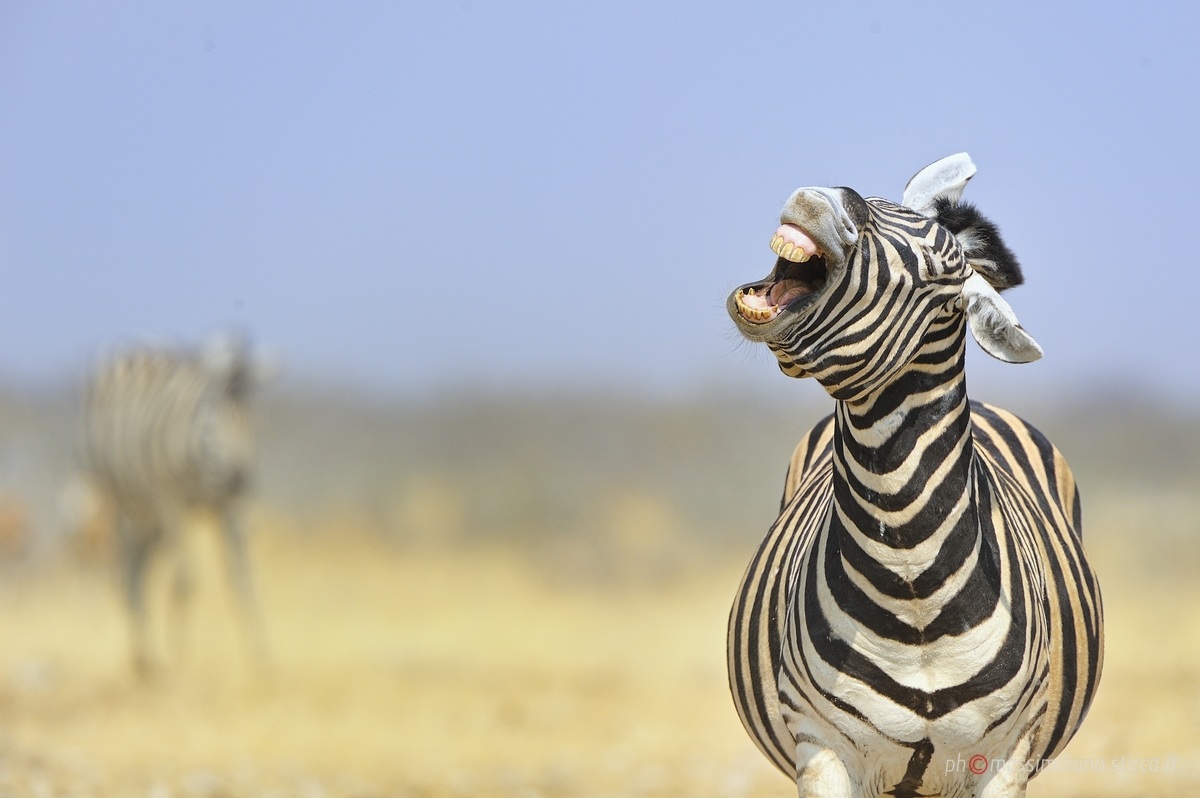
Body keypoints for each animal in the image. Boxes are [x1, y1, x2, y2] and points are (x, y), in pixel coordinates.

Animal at [84, 334, 271, 677]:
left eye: (251, 418)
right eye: (214, 414)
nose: (239, 479)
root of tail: (139, 346)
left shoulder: (231, 508)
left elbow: (244, 579)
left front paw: (262, 657)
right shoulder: (172, 502)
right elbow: (185, 581)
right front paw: (181, 660)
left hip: (150, 520)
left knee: (141, 568)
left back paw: (147, 658)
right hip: (125, 501)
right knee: (129, 572)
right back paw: (144, 661)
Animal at [725, 154, 1102, 798]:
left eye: (933, 273)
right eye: (876, 202)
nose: (827, 197)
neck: (911, 582)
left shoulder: (1008, 760)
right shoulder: (821, 748)